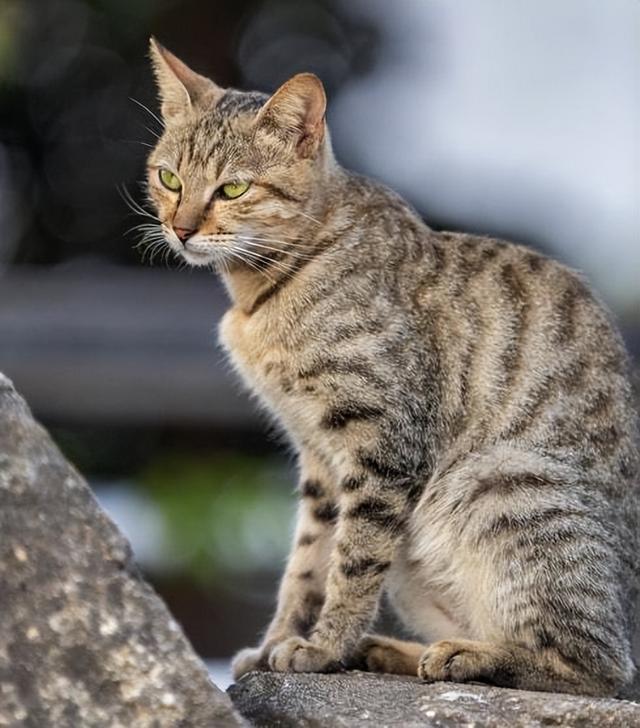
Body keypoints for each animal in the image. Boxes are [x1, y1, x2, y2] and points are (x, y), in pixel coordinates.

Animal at [145, 39, 640, 700]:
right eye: (169, 178)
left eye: (233, 189)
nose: (181, 228)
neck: (260, 295)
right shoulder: (320, 460)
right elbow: (307, 564)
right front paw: (279, 644)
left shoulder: (384, 445)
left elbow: (352, 563)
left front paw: (323, 647)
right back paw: (397, 651)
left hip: (498, 480)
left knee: (597, 668)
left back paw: (463, 657)